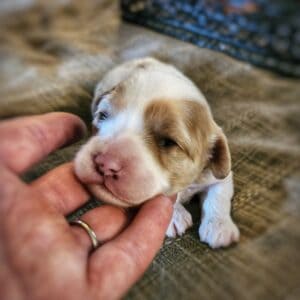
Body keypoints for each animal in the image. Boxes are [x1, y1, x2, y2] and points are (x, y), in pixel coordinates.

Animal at [74, 58, 239, 248]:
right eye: (102, 116)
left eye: (168, 142)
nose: (104, 163)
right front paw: (175, 216)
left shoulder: (219, 173)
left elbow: (219, 194)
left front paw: (219, 227)